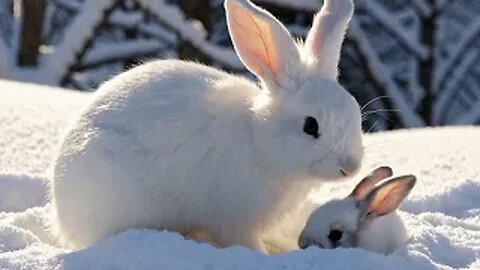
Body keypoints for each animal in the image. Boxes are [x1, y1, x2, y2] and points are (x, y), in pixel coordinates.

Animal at [49, 0, 364, 252]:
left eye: (356, 114)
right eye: (311, 126)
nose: (351, 167)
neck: (259, 140)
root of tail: (63, 216)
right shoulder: (235, 220)